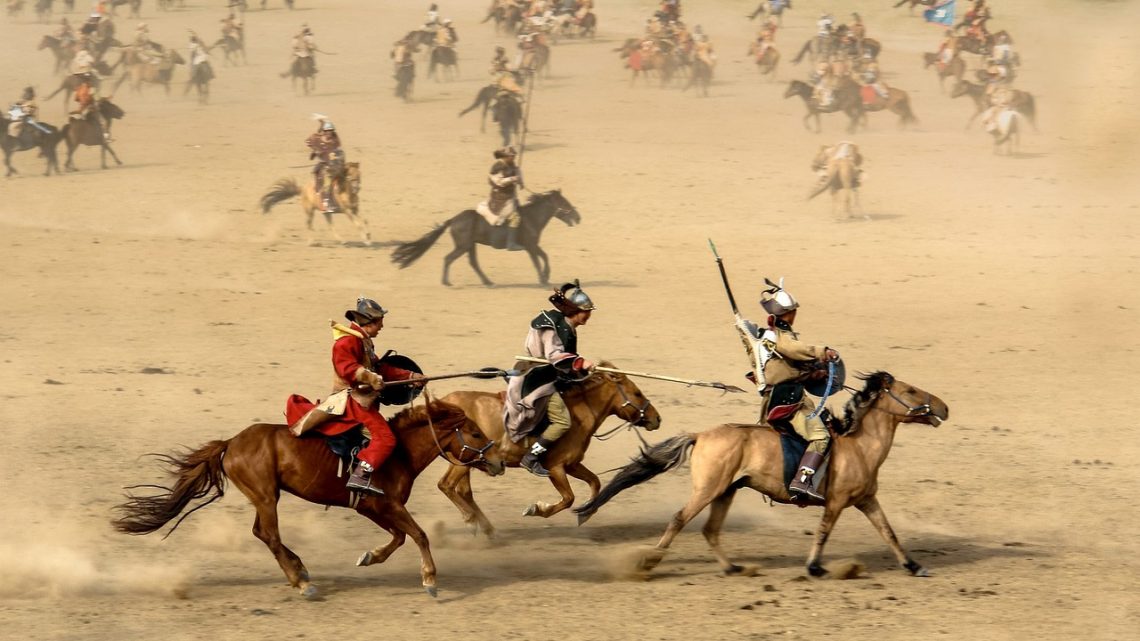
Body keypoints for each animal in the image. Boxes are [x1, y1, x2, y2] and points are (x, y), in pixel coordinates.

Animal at [112, 396, 503, 597]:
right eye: (473, 431)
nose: (498, 460)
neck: (399, 453)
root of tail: (231, 443)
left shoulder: (373, 507)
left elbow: (399, 537)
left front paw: (370, 557)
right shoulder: (386, 504)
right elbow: (418, 535)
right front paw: (430, 579)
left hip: (264, 497)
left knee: (262, 534)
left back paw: (299, 570)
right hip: (267, 496)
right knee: (268, 534)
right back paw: (301, 581)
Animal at [392, 188, 583, 285]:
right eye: (564, 202)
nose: (578, 217)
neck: (531, 217)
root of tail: (454, 219)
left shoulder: (534, 245)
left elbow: (544, 256)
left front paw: (546, 277)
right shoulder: (530, 246)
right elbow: (538, 260)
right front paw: (543, 279)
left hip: (470, 245)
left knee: (473, 263)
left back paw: (487, 281)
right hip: (463, 246)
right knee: (449, 258)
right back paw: (446, 282)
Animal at [440, 360, 665, 533]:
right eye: (637, 393)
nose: (657, 419)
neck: (579, 413)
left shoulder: (572, 465)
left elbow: (595, 482)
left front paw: (587, 511)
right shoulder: (555, 468)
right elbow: (568, 498)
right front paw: (537, 509)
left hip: (465, 461)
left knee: (463, 491)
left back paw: (486, 529)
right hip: (464, 460)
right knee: (446, 485)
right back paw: (472, 521)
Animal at [574, 371, 948, 577]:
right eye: (911, 391)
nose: (943, 407)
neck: (858, 445)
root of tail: (701, 434)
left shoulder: (867, 500)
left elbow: (889, 533)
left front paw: (914, 566)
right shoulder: (836, 502)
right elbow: (823, 532)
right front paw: (814, 567)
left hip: (726, 491)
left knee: (710, 530)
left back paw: (732, 568)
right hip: (708, 490)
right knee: (680, 519)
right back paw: (649, 561)